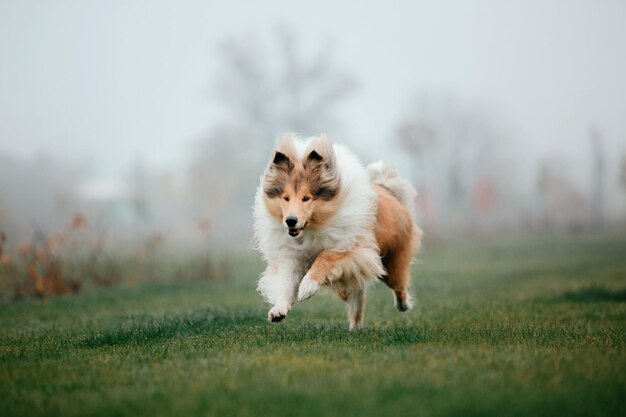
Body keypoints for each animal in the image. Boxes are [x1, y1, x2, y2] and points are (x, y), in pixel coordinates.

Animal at [251, 133, 422, 328]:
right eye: (285, 198)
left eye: (306, 198)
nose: (290, 221)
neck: (312, 229)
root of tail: (386, 188)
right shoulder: (292, 256)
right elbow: (285, 282)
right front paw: (278, 310)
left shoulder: (355, 249)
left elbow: (325, 256)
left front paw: (307, 287)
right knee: (357, 302)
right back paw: (356, 328)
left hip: (391, 263)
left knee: (399, 286)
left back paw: (403, 305)